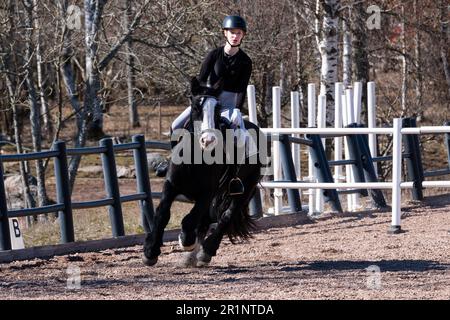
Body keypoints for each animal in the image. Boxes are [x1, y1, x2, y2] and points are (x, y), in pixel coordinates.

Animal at [144, 78, 264, 268]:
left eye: (217, 108)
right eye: (195, 106)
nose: (208, 141)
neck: (195, 158)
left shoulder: (207, 193)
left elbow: (189, 219)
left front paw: (186, 240)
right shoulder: (171, 185)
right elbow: (162, 213)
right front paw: (150, 251)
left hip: (245, 190)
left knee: (225, 217)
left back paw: (205, 252)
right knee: (206, 222)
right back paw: (191, 258)